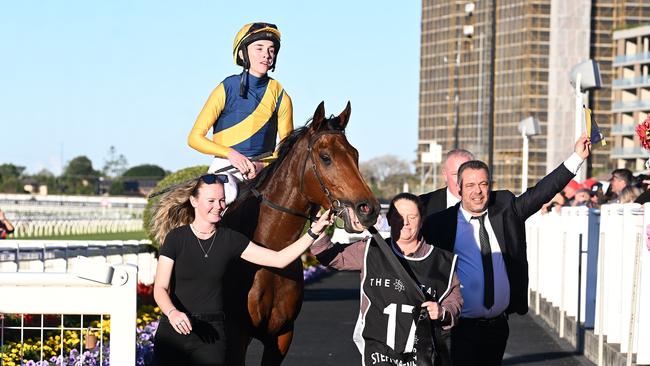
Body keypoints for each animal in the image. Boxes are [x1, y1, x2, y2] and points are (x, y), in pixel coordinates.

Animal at [221, 101, 380, 364]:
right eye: (325, 158)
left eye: (355, 154)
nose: (369, 209)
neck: (269, 251)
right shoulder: (237, 336)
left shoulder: (282, 335)